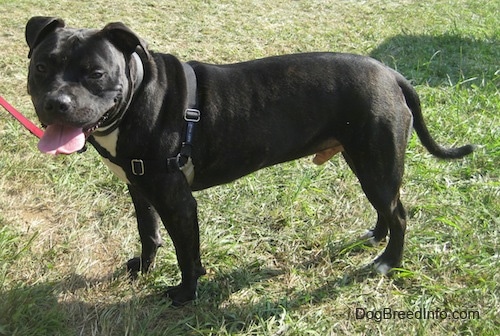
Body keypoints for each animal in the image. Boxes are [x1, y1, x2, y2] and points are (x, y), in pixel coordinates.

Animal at [26, 15, 472, 304]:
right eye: (41, 66)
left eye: (96, 73)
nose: (57, 103)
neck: (138, 96)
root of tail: (391, 74)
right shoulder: (140, 188)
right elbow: (148, 233)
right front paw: (143, 268)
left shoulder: (177, 201)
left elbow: (187, 253)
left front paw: (185, 294)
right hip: (365, 161)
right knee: (387, 207)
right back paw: (376, 238)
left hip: (376, 162)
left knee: (399, 213)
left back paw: (389, 262)